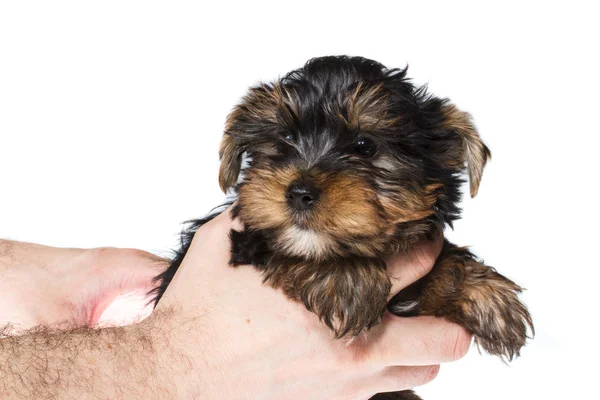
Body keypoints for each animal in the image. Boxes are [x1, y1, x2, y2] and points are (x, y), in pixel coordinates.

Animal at [152, 54, 532, 398]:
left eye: (365, 146)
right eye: (285, 139)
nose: (300, 192)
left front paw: (486, 295)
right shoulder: (241, 244)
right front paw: (346, 276)